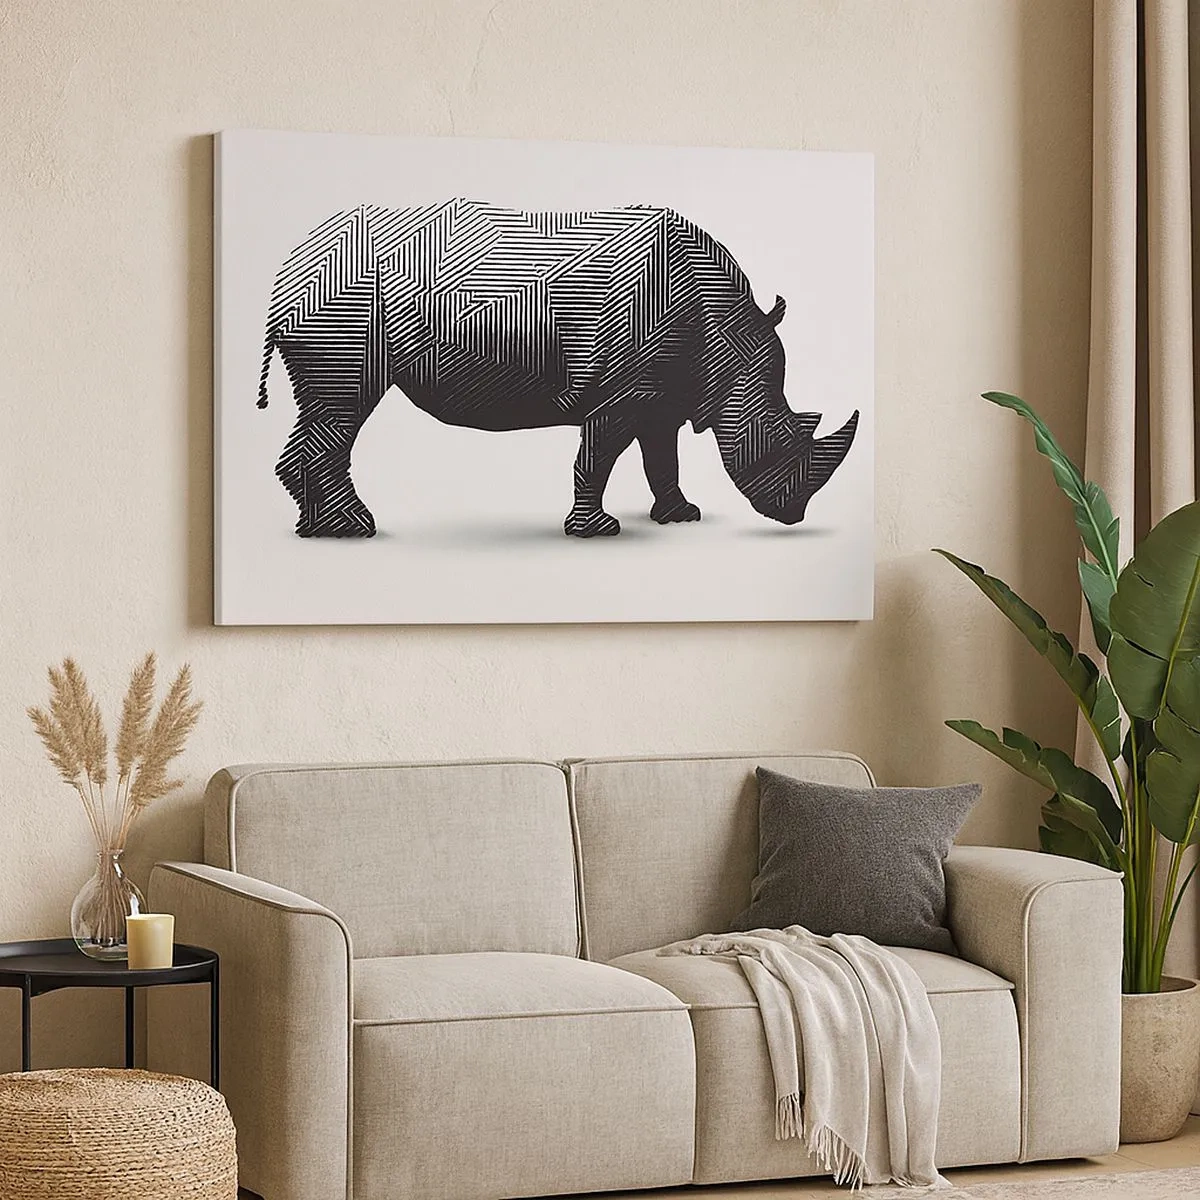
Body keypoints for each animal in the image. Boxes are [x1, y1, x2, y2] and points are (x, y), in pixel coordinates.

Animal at [257, 199, 858, 538]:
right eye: (778, 439)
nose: (793, 515)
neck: (728, 341)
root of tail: (289, 263)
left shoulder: (664, 395)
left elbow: (662, 457)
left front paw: (681, 517)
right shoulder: (622, 394)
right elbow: (598, 457)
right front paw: (597, 532)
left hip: (330, 302)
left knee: (322, 411)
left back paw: (314, 531)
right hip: (342, 306)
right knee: (344, 407)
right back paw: (354, 531)